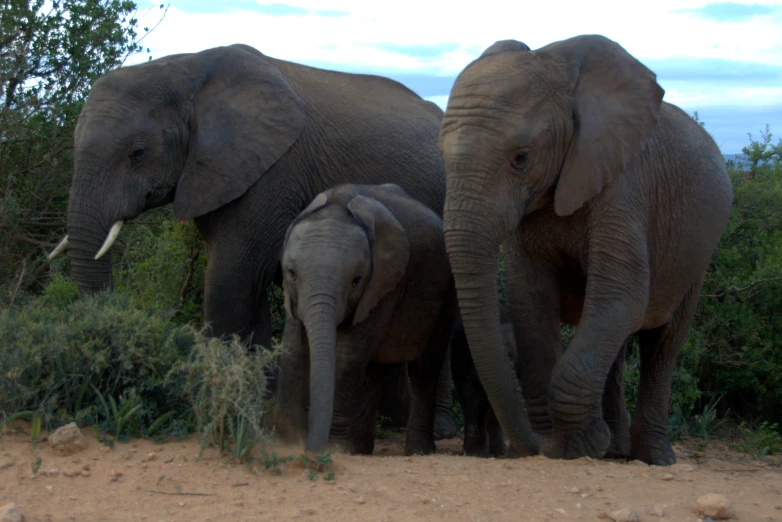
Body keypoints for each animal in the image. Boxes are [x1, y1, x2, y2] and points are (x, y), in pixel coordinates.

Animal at [278, 183, 456, 456]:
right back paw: (360, 449)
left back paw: (418, 451)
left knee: (424, 368)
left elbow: (347, 356)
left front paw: (334, 448)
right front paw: (285, 442)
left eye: (356, 280)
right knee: (374, 369)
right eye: (292, 273)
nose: (310, 448)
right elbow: (293, 349)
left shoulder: (384, 284)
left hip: (445, 294)